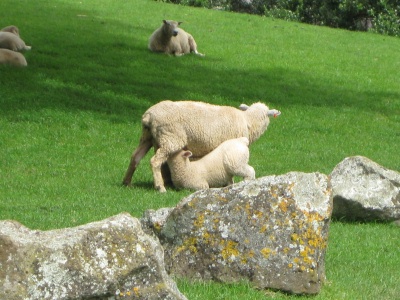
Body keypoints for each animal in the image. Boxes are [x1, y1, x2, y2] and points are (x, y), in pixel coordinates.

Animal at [122, 99, 282, 191]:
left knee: (135, 157)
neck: (248, 121)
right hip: (171, 137)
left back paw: (127, 183)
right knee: (155, 161)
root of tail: (149, 116)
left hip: (148, 137)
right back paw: (160, 187)